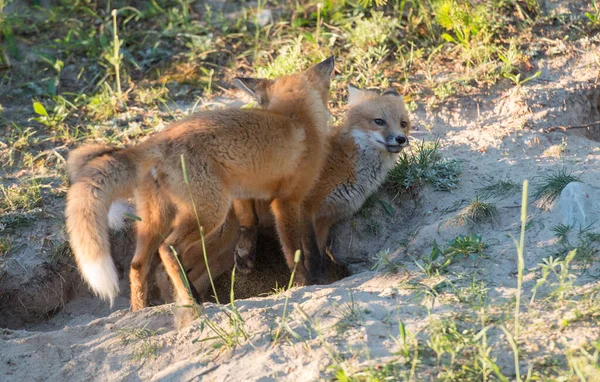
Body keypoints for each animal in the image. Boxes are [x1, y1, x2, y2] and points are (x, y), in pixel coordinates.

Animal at [68, 57, 338, 320]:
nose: (332, 58)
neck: (297, 118)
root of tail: (154, 141)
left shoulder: (241, 187)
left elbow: (253, 222)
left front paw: (246, 255)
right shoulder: (286, 201)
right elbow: (294, 250)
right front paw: (304, 282)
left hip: (157, 219)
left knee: (138, 265)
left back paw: (140, 311)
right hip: (209, 212)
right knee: (167, 250)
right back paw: (190, 299)